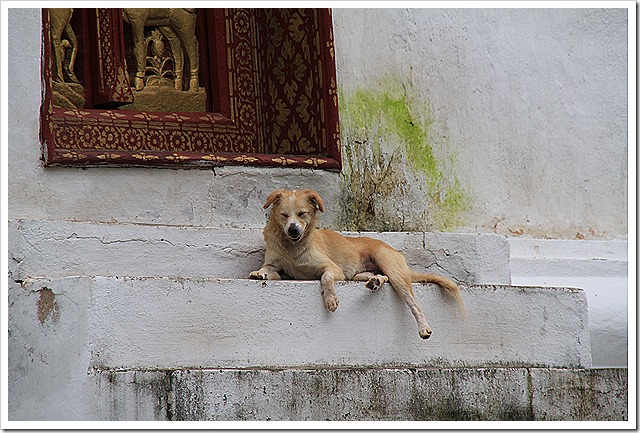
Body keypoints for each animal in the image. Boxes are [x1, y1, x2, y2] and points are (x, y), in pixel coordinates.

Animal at [248, 188, 462, 338]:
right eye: (284, 215)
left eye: (302, 214)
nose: (293, 230)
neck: (292, 247)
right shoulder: (277, 268)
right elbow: (268, 269)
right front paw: (259, 273)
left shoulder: (332, 269)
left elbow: (326, 277)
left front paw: (330, 299)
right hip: (359, 274)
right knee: (379, 276)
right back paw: (375, 281)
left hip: (392, 269)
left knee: (413, 302)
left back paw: (424, 327)